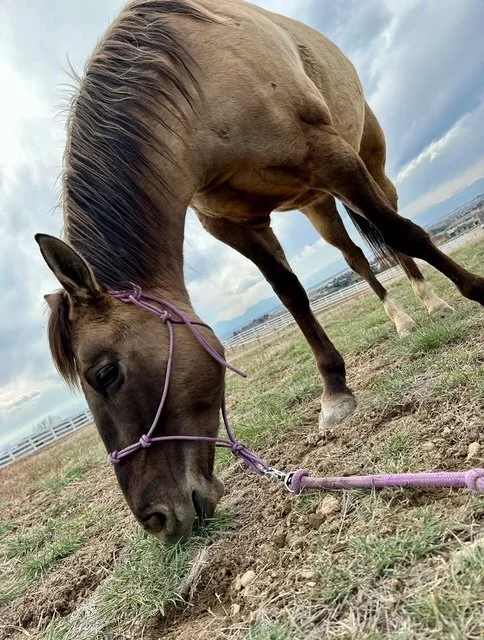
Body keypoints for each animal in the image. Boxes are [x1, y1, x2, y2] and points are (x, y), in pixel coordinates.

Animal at [36, 0, 484, 543]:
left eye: (105, 373)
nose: (156, 521)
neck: (203, 87)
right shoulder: (236, 225)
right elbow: (291, 294)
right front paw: (335, 391)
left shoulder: (331, 156)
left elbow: (405, 234)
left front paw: (479, 291)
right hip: (316, 203)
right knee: (356, 257)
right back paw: (401, 320)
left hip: (365, 161)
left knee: (393, 228)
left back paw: (432, 302)